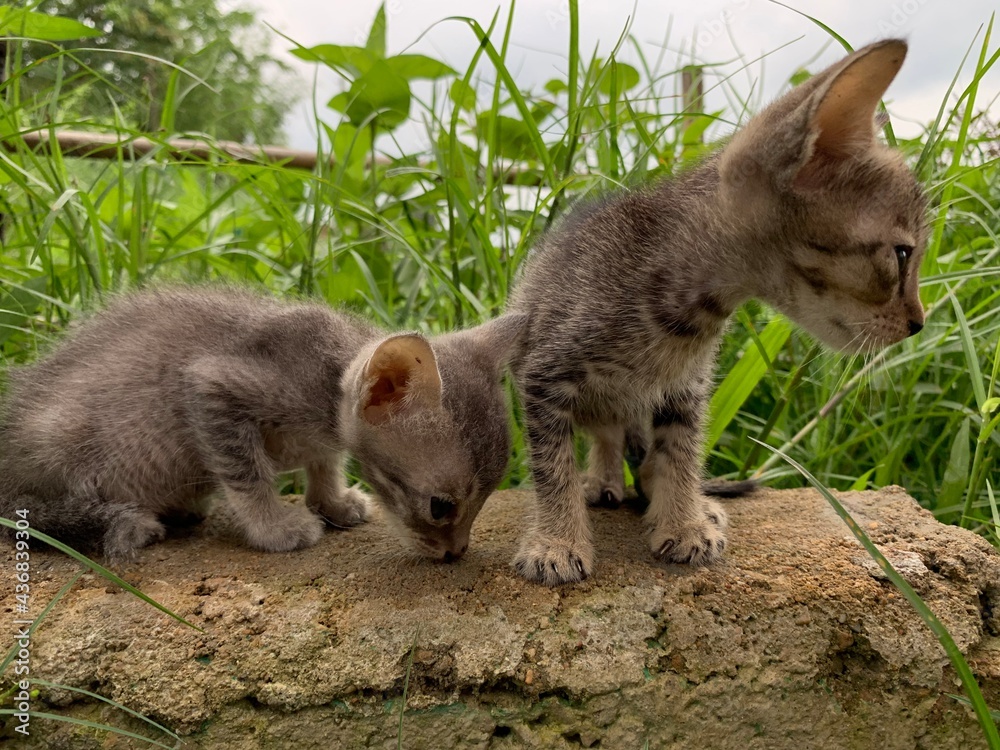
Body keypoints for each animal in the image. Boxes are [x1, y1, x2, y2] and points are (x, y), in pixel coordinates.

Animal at [0, 290, 524, 560]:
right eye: (441, 506)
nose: (456, 552)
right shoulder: (211, 386)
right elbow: (247, 476)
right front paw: (275, 528)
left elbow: (325, 461)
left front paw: (333, 502)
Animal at [508, 39, 928, 588]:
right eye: (901, 255)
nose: (919, 322)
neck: (684, 315)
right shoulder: (544, 375)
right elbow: (550, 467)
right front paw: (557, 541)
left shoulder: (686, 387)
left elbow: (680, 453)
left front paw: (683, 521)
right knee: (606, 429)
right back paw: (602, 480)